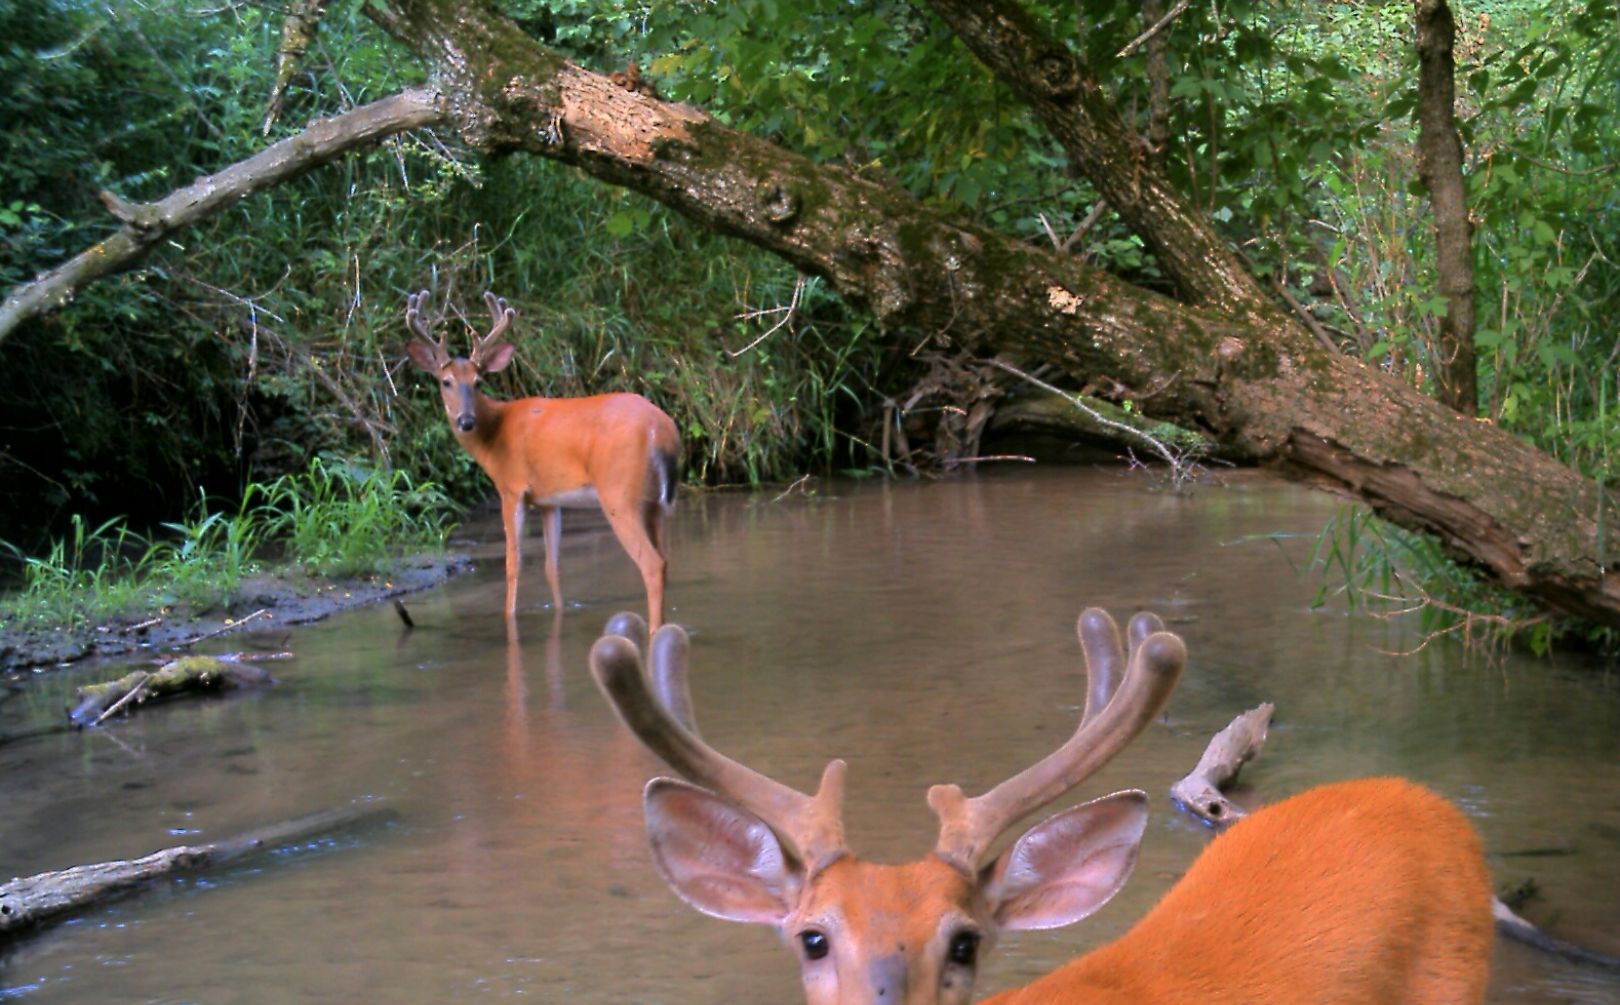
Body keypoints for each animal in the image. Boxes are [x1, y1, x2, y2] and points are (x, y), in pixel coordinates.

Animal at [411, 286, 683, 628]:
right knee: (666, 560)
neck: (494, 433)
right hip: (654, 503)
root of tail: (662, 430)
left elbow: (513, 563)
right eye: (445, 381)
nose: (466, 421)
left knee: (652, 564)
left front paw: (509, 617)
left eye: (477, 382)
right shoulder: (549, 501)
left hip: (619, 493)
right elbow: (552, 567)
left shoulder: (511, 488)